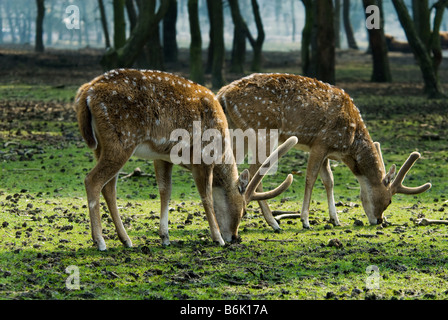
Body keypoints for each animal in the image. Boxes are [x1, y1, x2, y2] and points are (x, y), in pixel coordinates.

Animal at [74, 69, 298, 251]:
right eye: (243, 210)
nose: (234, 237)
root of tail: (85, 93)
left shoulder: (162, 156)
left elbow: (165, 191)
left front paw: (165, 237)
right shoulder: (202, 157)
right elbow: (206, 195)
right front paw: (217, 238)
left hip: (101, 146)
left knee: (109, 187)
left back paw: (126, 240)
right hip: (121, 142)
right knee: (92, 180)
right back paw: (100, 241)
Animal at [217, 73, 430, 230]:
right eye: (389, 200)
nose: (379, 220)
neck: (348, 145)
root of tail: (222, 94)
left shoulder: (326, 151)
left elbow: (329, 180)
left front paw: (335, 220)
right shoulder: (321, 142)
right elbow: (311, 178)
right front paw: (305, 221)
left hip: (238, 131)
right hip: (262, 130)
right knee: (255, 172)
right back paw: (273, 223)